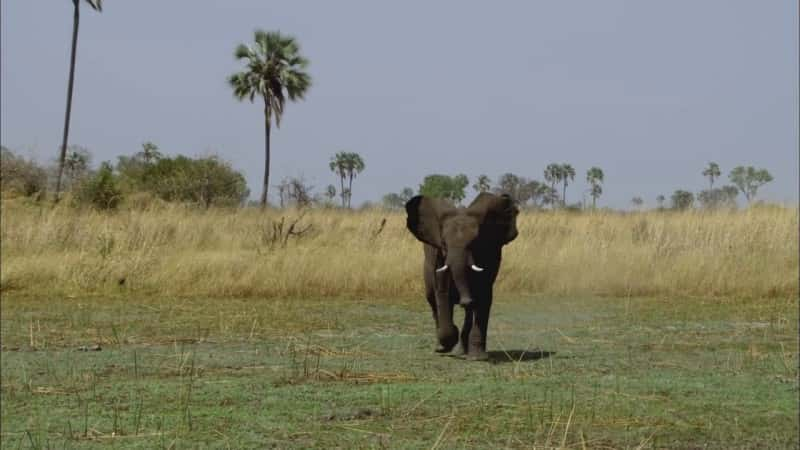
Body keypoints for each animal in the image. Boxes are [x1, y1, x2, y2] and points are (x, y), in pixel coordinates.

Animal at [404, 192, 520, 360]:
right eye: (444, 244)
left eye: (475, 243)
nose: (466, 300)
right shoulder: (439, 257)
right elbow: (442, 292)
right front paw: (447, 343)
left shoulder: (491, 254)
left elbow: (484, 294)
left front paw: (478, 357)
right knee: (432, 300)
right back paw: (441, 347)